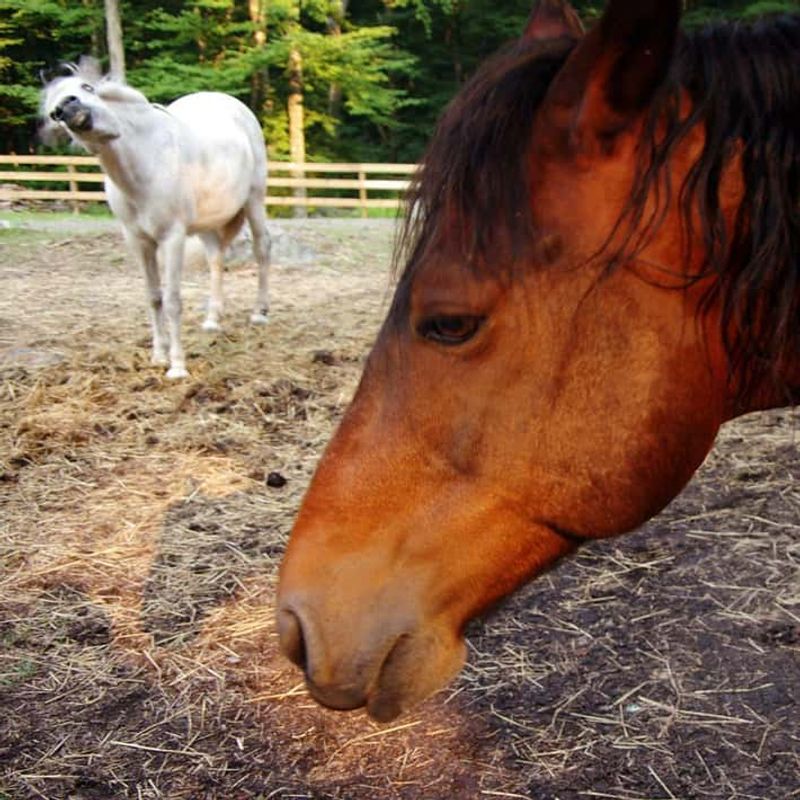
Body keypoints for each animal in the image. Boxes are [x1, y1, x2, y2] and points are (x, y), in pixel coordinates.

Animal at [41, 59, 271, 379]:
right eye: (54, 113)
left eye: (87, 88)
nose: (70, 108)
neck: (145, 163)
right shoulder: (139, 242)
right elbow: (153, 297)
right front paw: (159, 356)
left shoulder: (172, 238)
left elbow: (172, 301)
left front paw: (177, 367)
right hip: (208, 222)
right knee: (216, 258)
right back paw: (212, 320)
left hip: (253, 200)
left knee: (262, 248)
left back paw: (260, 314)